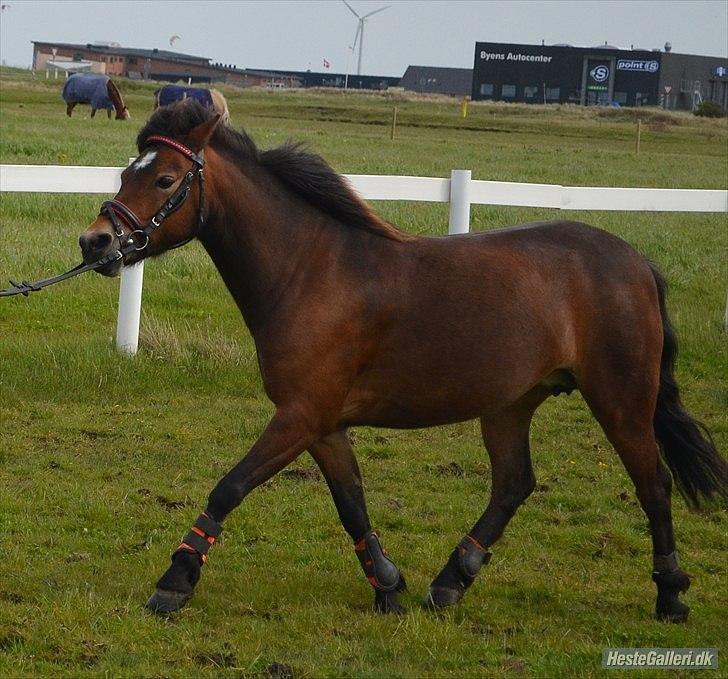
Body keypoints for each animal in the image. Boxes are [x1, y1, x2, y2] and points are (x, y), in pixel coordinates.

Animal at [77, 99, 724, 620]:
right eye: (126, 172)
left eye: (165, 179)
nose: (95, 242)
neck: (310, 271)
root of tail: (636, 262)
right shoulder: (323, 424)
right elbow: (352, 505)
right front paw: (388, 586)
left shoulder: (300, 416)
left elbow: (228, 489)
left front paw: (174, 582)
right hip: (511, 403)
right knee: (514, 484)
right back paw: (451, 582)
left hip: (621, 399)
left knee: (654, 484)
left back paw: (670, 596)